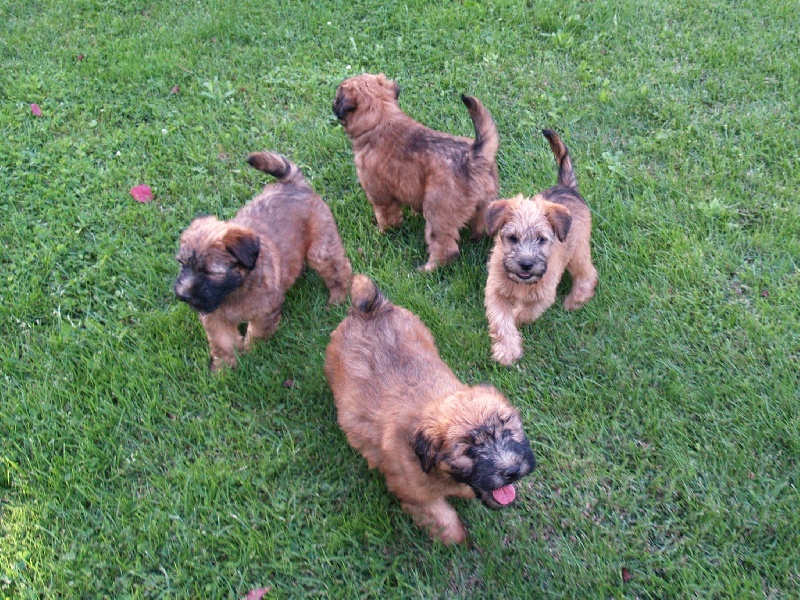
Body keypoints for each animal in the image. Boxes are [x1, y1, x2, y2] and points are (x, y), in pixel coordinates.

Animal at [173, 154, 352, 370]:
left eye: (208, 272)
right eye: (182, 264)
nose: (182, 295)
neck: (235, 291)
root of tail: (293, 184)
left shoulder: (264, 311)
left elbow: (256, 333)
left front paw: (252, 355)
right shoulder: (214, 316)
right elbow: (223, 342)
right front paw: (224, 368)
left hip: (320, 248)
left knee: (339, 269)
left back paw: (337, 298)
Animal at [322, 276, 536, 544]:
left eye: (507, 432)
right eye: (469, 451)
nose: (512, 471)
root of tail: (369, 310)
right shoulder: (418, 496)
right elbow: (445, 523)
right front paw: (462, 542)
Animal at [332, 72, 500, 272]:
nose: (333, 103)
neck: (381, 118)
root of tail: (474, 158)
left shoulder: (379, 194)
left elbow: (386, 217)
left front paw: (381, 232)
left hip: (438, 211)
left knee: (445, 248)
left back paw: (427, 270)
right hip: (487, 203)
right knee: (483, 226)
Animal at [484, 130, 596, 366]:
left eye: (542, 239)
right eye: (512, 238)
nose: (526, 264)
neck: (520, 283)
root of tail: (567, 187)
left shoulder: (544, 296)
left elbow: (525, 313)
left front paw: (516, 318)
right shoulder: (494, 290)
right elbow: (501, 320)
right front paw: (507, 350)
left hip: (578, 252)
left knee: (588, 274)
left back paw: (576, 299)